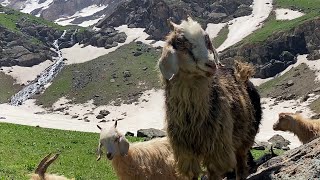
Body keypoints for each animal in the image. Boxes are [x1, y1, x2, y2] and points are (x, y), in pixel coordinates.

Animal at [159, 17, 262, 180]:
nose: (211, 64)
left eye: (207, 41)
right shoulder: (185, 152)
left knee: (241, 161)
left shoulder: (217, 148)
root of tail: (241, 74)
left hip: (246, 134)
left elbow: (214, 172)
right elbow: (192, 174)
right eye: (181, 43)